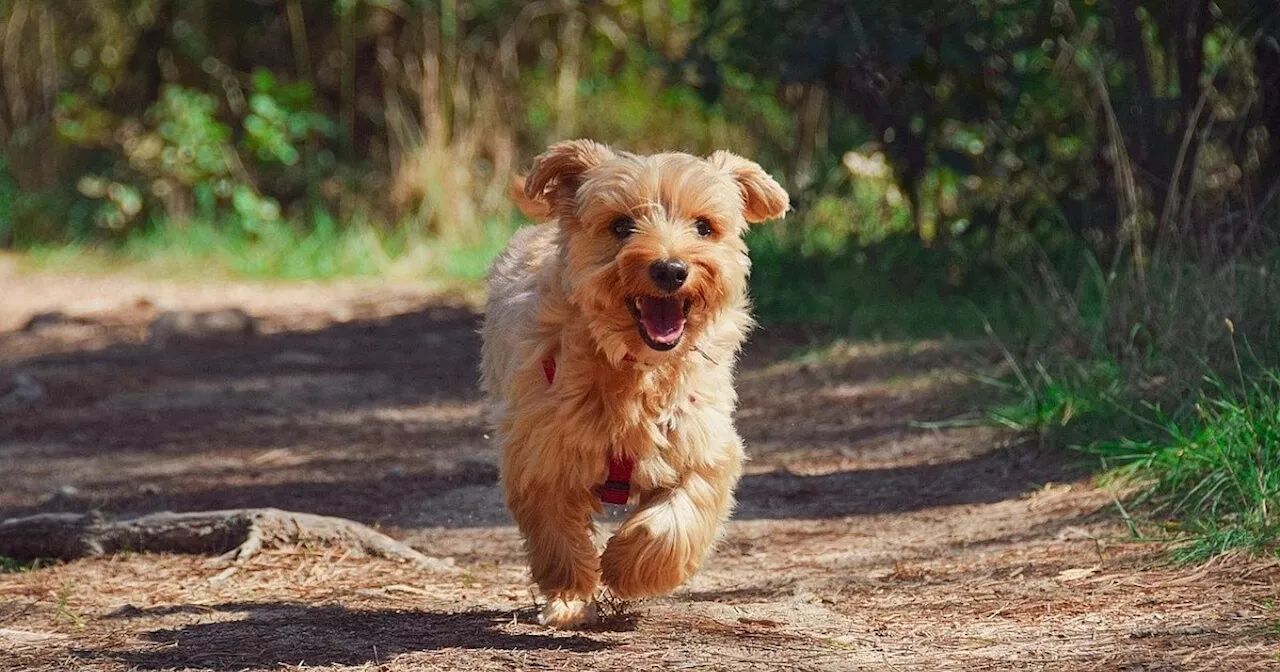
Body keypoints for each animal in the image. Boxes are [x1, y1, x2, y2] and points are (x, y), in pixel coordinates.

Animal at [481, 138, 783, 627]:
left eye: (704, 226)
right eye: (621, 225)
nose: (671, 269)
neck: (636, 369)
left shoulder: (704, 445)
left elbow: (677, 518)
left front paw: (627, 566)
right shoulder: (541, 452)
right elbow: (557, 533)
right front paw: (569, 595)